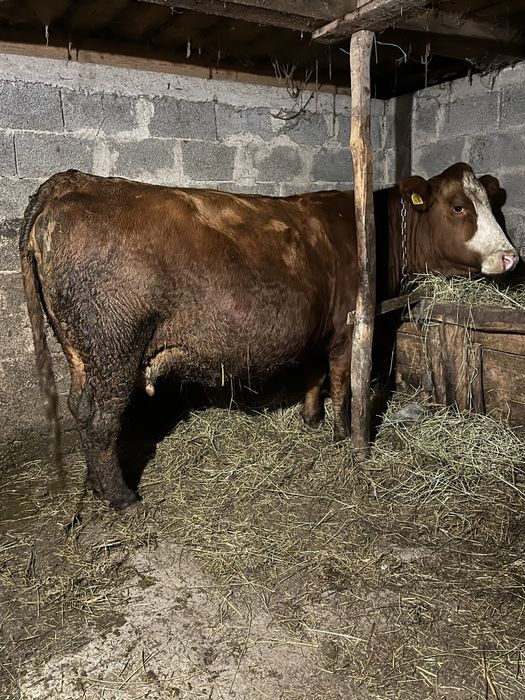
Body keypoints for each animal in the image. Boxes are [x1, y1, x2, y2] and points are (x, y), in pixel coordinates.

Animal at [19, 162, 518, 509]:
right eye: (459, 206)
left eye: (492, 205)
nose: (511, 256)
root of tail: (75, 181)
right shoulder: (347, 328)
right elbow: (343, 383)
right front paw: (342, 435)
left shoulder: (318, 328)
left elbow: (315, 377)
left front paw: (311, 420)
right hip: (114, 349)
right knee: (101, 420)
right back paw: (122, 498)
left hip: (82, 353)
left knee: (80, 409)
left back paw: (94, 485)